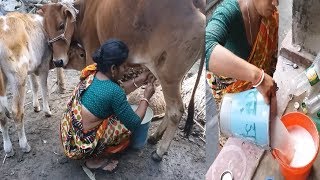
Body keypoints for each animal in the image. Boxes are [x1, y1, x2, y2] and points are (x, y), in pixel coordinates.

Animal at [39, 0, 205, 160]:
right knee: (172, 108)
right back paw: (154, 137)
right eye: (45, 30)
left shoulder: (91, 53)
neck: (85, 12)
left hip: (169, 76)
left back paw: (160, 151)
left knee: (176, 111)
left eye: (61, 25)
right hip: (176, 77)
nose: (58, 61)